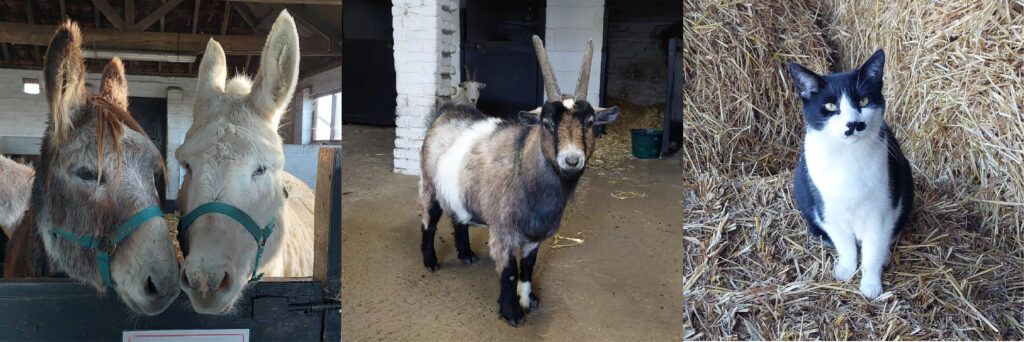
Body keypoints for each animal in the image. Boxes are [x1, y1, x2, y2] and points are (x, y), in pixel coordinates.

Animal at [786, 50, 917, 298]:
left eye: (863, 101)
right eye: (830, 106)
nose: (853, 124)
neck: (848, 157)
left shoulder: (880, 212)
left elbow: (873, 249)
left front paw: (871, 285)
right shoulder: (827, 210)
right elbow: (844, 244)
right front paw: (846, 268)